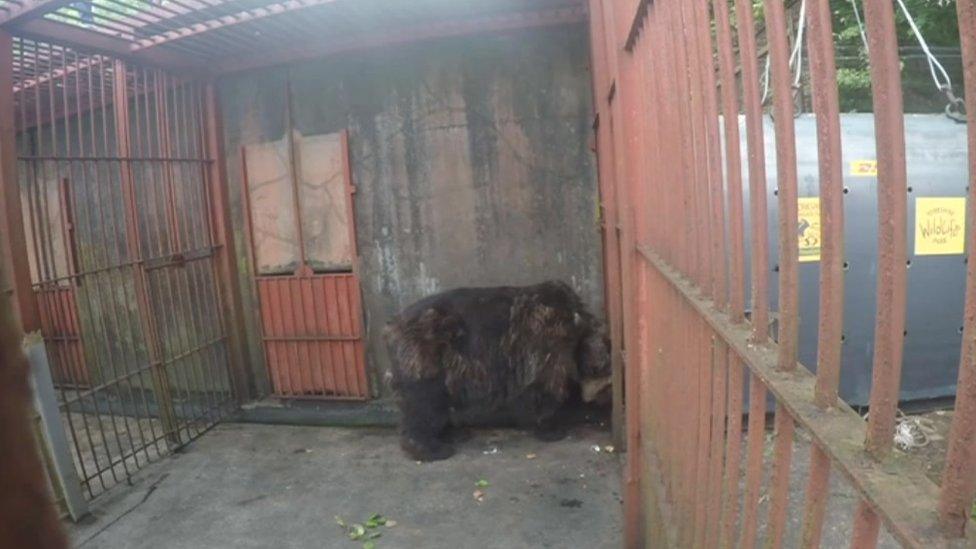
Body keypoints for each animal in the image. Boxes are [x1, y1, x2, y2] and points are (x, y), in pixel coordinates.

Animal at [384, 280, 608, 460]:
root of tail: (393, 326)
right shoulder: (545, 343)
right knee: (425, 403)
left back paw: (453, 434)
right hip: (428, 355)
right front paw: (551, 428)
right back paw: (430, 448)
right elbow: (543, 390)